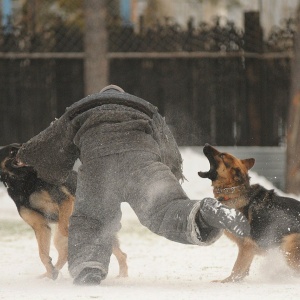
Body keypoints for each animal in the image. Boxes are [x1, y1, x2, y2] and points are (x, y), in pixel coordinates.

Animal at [0, 143, 127, 278]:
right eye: (12, 151)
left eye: (21, 146)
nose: (28, 150)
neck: (23, 182)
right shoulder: (40, 227)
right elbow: (42, 254)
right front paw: (50, 270)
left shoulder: (65, 201)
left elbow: (63, 226)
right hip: (58, 239)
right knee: (64, 254)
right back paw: (49, 274)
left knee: (121, 254)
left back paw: (123, 276)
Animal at [197, 144, 300, 282]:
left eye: (222, 155)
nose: (206, 145)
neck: (234, 192)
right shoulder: (248, 249)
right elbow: (242, 272)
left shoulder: (246, 246)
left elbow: (236, 269)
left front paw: (225, 282)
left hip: (288, 243)